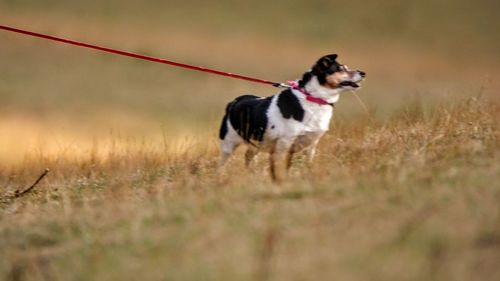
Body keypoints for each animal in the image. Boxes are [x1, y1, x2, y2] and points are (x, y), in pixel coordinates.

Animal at [217, 53, 366, 179]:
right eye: (341, 69)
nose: (363, 72)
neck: (313, 98)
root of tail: (234, 102)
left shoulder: (311, 145)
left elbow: (307, 164)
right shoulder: (285, 143)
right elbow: (281, 167)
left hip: (256, 143)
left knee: (248, 156)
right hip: (229, 142)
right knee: (223, 162)